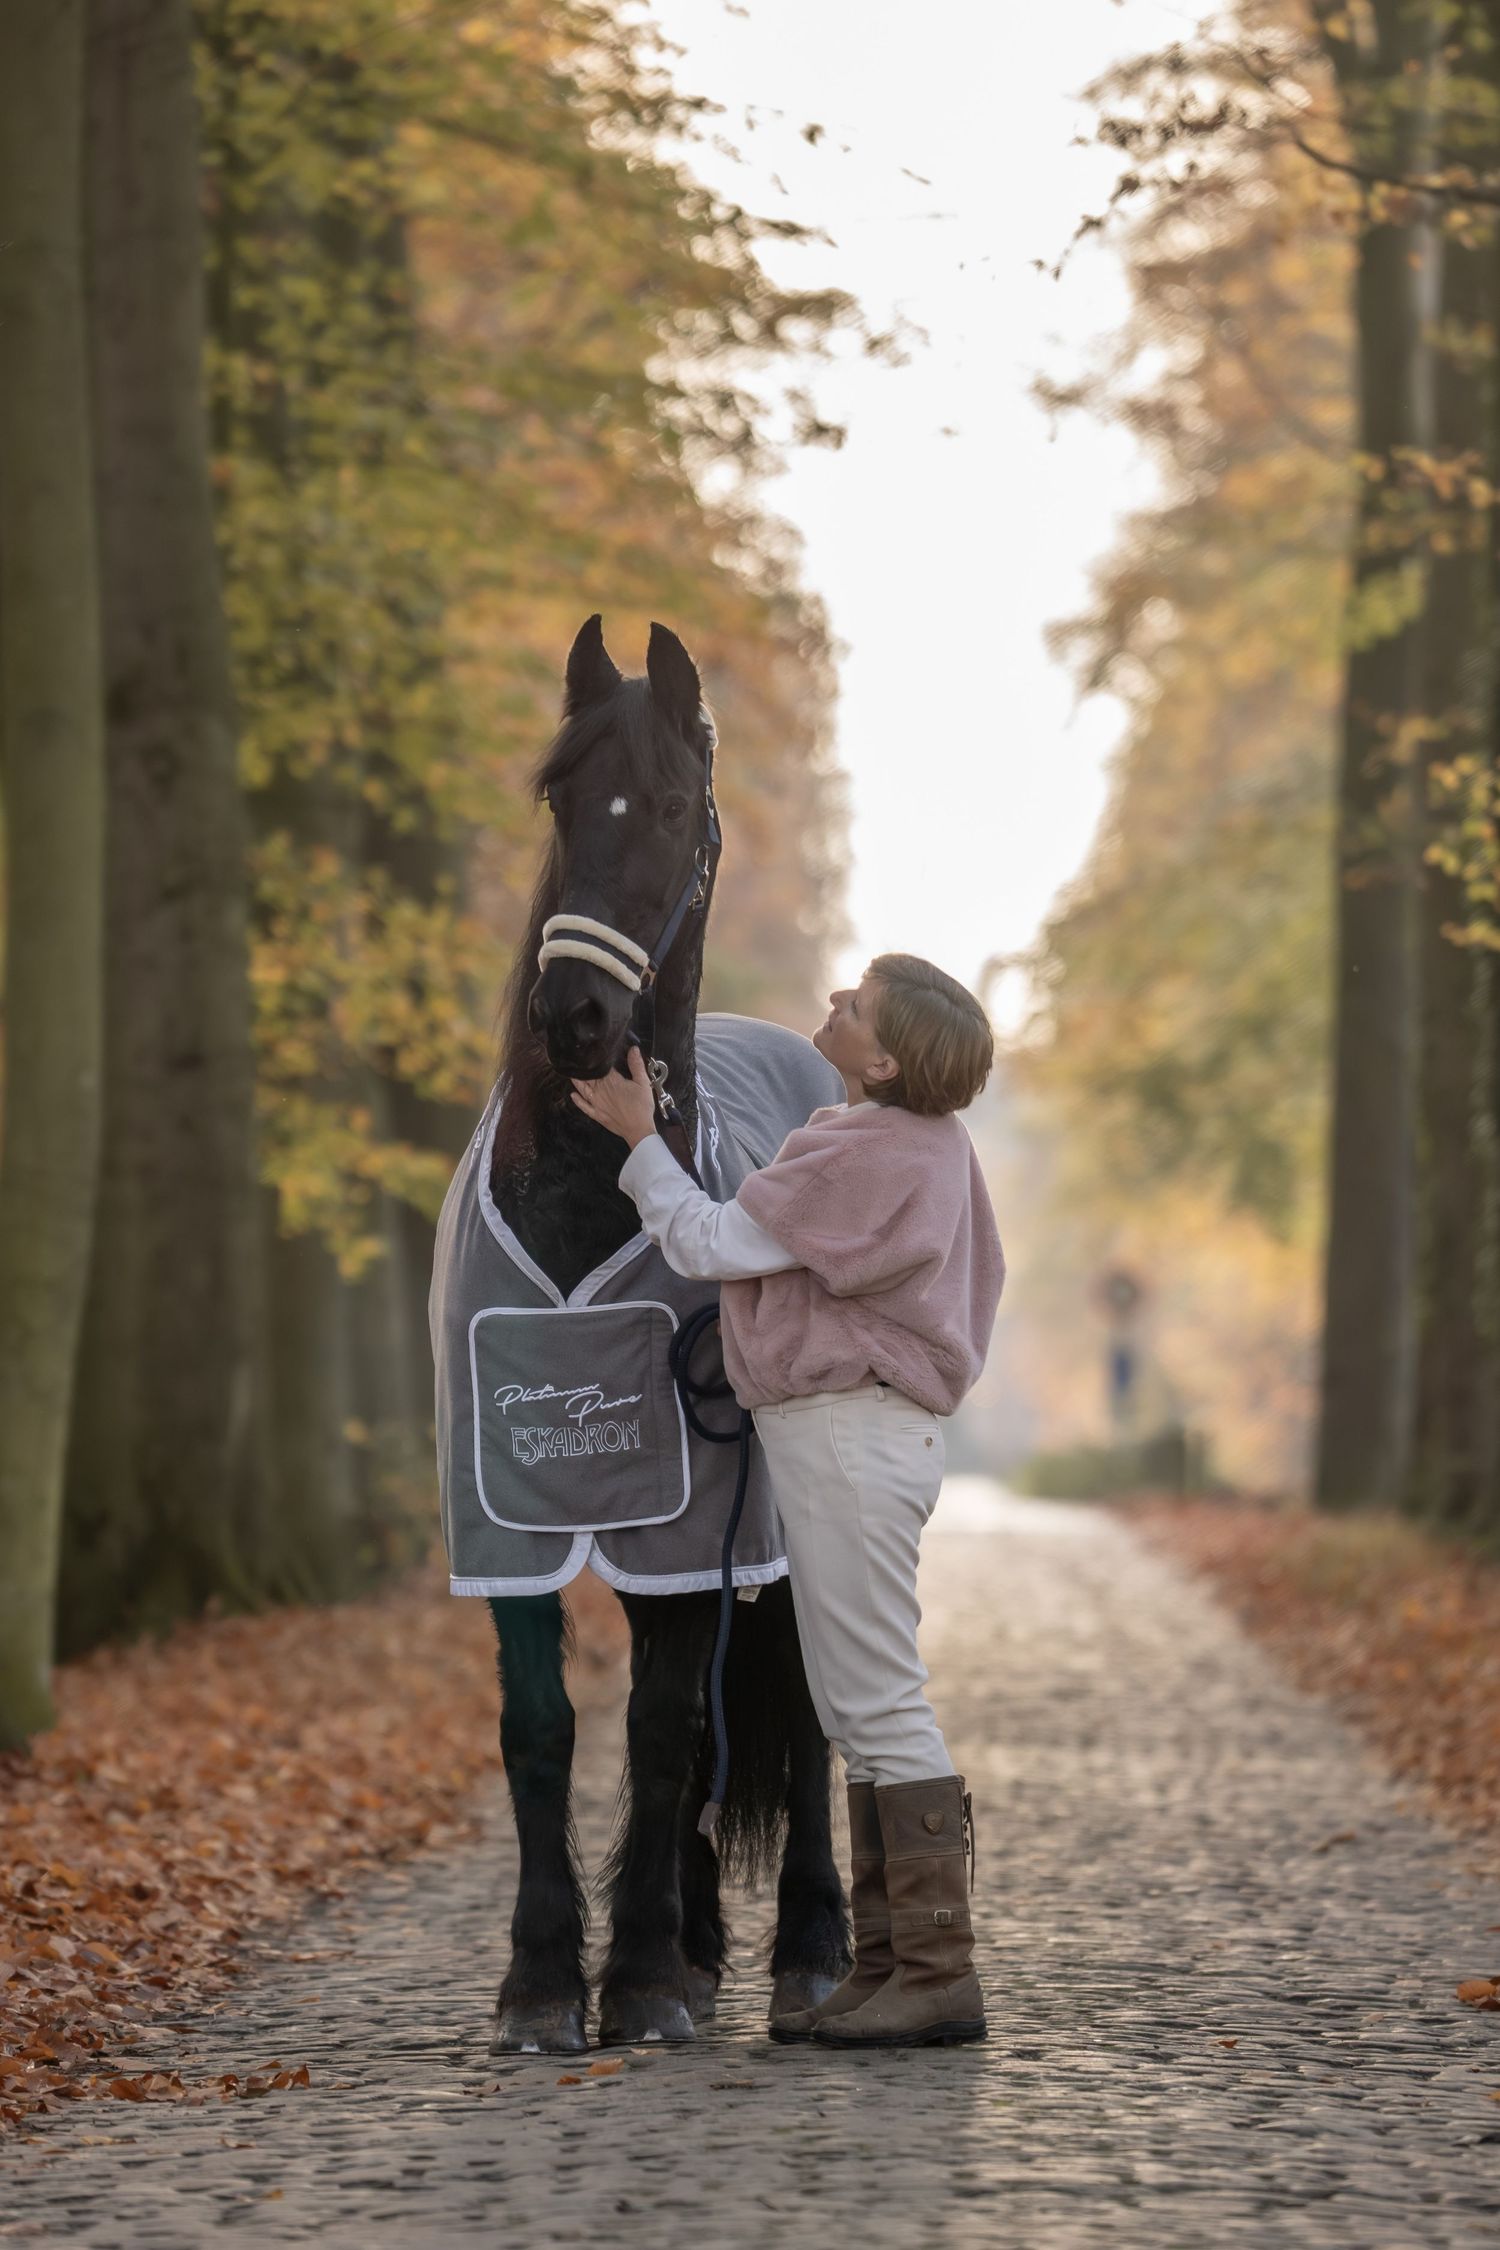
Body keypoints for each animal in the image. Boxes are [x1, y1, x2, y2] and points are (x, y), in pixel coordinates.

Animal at [442, 614, 852, 2053]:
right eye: (561, 797)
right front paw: (546, 1981)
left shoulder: (685, 1517)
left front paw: (640, 1981)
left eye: (672, 806)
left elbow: (667, 1723)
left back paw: (809, 1947)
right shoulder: (505, 1511)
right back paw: (699, 1933)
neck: (581, 1200)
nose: (574, 1018)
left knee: (800, 1705)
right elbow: (544, 1728)